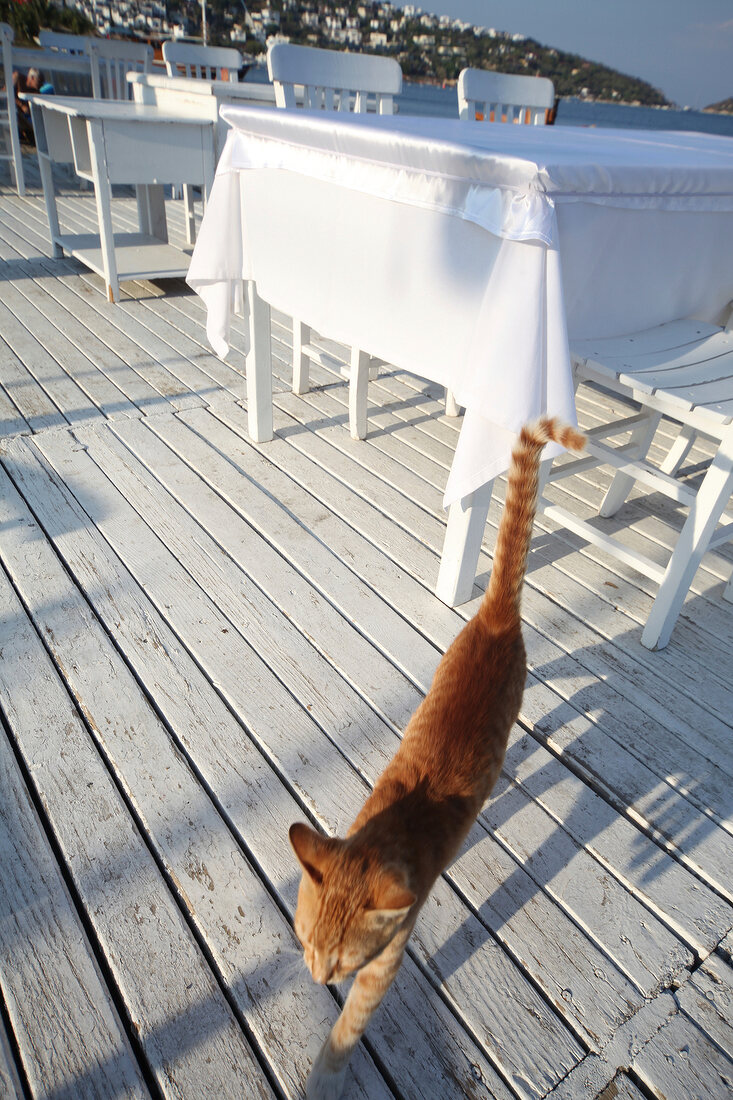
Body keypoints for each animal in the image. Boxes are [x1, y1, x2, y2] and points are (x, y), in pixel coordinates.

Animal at [288, 415, 581, 1095]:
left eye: (342, 961)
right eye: (305, 940)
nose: (317, 978)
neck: (384, 833)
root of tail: (496, 616)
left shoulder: (383, 966)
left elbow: (347, 1030)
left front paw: (324, 1077)